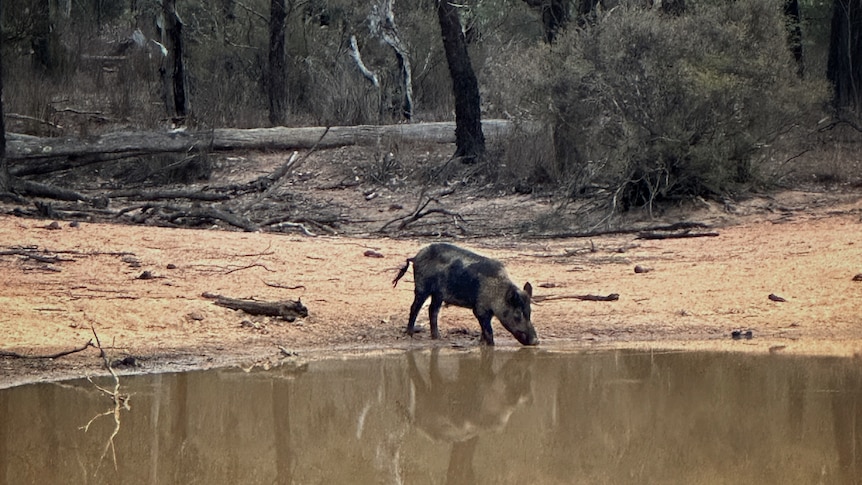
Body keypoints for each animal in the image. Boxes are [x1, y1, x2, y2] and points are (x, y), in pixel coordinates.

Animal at [392, 243, 538, 346]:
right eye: (518, 314)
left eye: (530, 312)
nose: (536, 341)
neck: (497, 293)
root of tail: (416, 256)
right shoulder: (479, 309)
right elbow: (489, 330)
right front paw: (490, 345)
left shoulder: (487, 311)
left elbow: (485, 329)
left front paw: (481, 343)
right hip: (422, 287)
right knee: (414, 307)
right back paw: (410, 334)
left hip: (438, 294)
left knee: (432, 310)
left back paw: (437, 337)